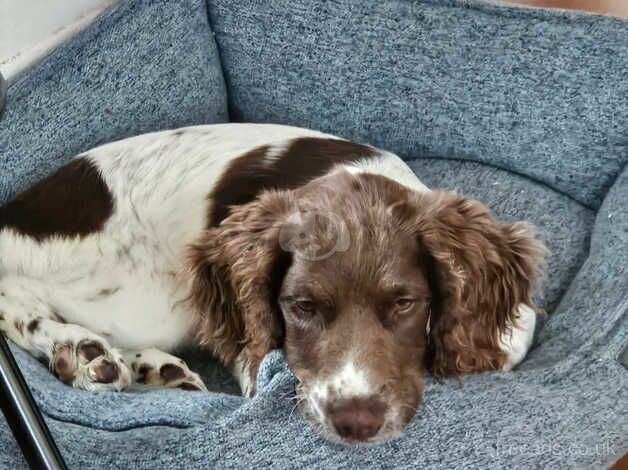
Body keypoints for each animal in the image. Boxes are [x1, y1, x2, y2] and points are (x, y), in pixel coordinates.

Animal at [0, 122, 544, 444]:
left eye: (405, 303)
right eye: (301, 306)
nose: (356, 422)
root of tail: (14, 212)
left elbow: (513, 335)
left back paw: (145, 368)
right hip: (147, 298)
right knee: (17, 299)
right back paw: (81, 353)